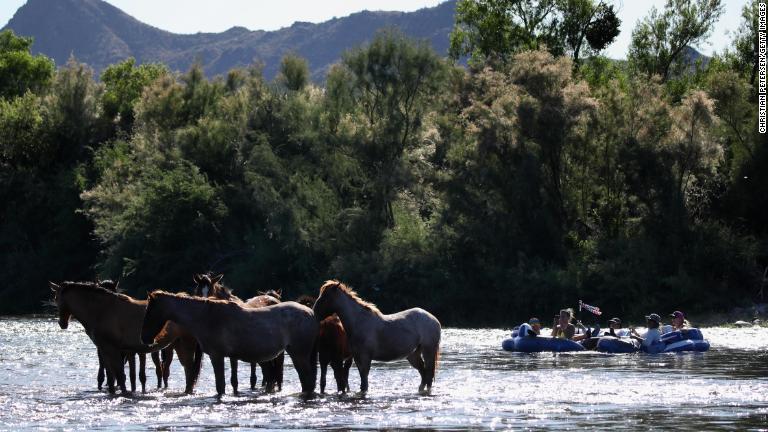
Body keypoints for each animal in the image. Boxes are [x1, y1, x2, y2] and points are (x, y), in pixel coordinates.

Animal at [49, 282, 201, 394]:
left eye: (56, 298)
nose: (62, 323)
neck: (102, 310)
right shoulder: (105, 350)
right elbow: (112, 377)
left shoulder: (113, 349)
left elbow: (120, 375)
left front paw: (124, 392)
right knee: (187, 370)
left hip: (185, 344)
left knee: (189, 369)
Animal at [141, 290, 318, 394]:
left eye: (150, 311)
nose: (145, 338)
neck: (206, 317)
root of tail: (310, 313)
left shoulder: (217, 356)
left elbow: (220, 386)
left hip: (299, 355)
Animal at [310, 280, 440, 394]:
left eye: (326, 296)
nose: (314, 312)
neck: (359, 321)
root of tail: (434, 319)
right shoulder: (357, 358)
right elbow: (362, 381)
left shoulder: (365, 358)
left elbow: (364, 382)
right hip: (413, 355)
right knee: (424, 373)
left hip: (428, 351)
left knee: (428, 374)